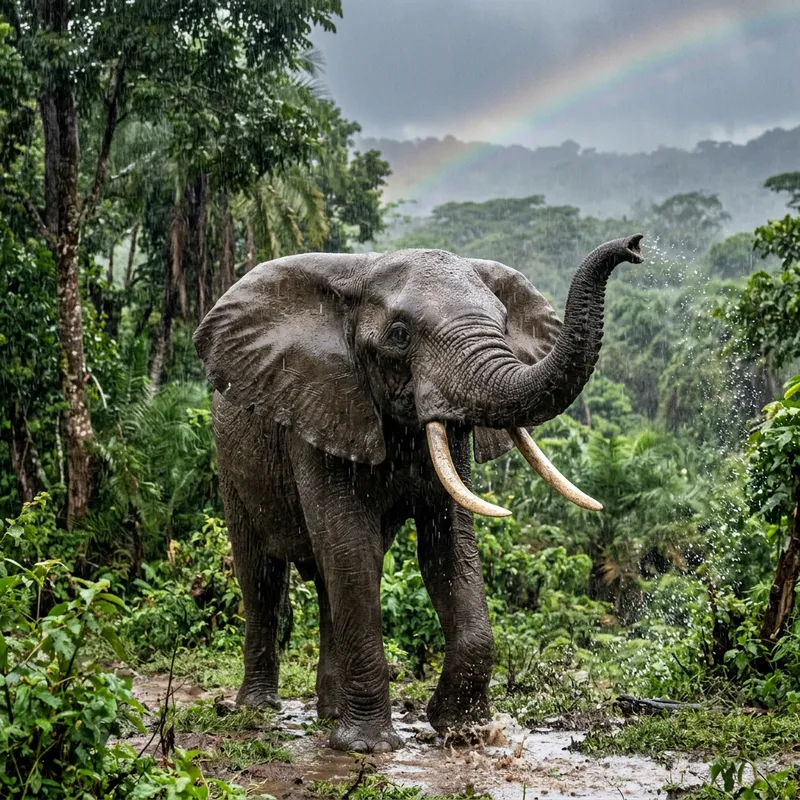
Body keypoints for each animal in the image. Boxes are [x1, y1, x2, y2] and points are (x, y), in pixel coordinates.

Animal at [193, 234, 643, 753]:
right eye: (399, 335)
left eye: (503, 324)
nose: (633, 246)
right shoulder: (319, 406)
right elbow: (351, 548)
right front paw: (369, 748)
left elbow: (446, 548)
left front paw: (463, 731)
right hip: (229, 457)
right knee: (263, 575)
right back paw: (259, 709)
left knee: (328, 580)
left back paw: (329, 714)